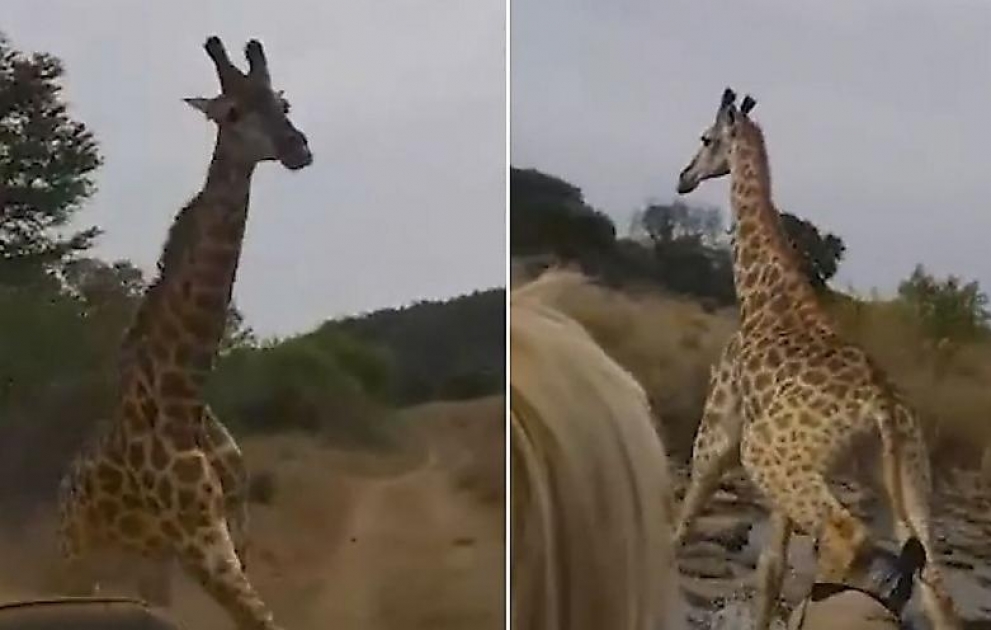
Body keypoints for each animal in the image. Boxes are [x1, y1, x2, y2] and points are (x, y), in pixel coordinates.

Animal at [54, 36, 312, 630]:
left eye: (281, 102)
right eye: (233, 111)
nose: (297, 147)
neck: (186, 395)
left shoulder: (233, 527)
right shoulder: (200, 541)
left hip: (142, 561)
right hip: (76, 556)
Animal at [671, 87, 959, 630]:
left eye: (705, 138)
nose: (684, 177)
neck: (764, 298)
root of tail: (883, 406)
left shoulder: (720, 426)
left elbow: (683, 519)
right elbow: (771, 568)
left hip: (769, 456)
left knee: (848, 538)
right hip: (906, 475)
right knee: (936, 587)